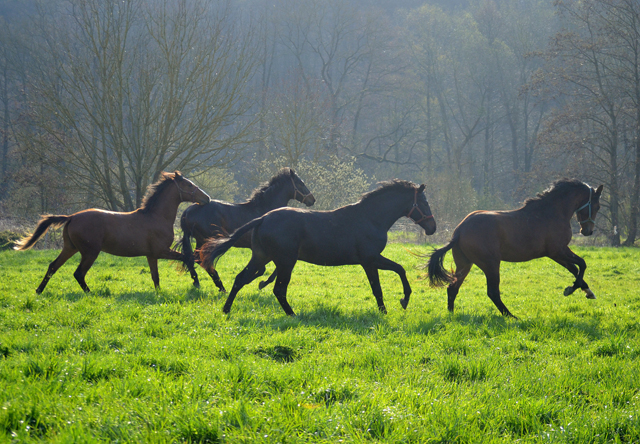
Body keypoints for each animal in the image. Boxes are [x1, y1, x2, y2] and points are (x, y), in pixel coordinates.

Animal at [15, 172, 210, 294]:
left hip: (70, 248)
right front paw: (196, 282)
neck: (156, 216)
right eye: (188, 184)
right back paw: (90, 293)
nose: (206, 198)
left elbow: (155, 276)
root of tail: (71, 217)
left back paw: (39, 290)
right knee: (78, 273)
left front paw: (159, 293)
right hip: (90, 252)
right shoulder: (161, 251)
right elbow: (187, 258)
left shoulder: (151, 255)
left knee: (53, 266)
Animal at [179, 167, 314, 292]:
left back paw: (200, 283)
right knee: (200, 259)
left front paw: (256, 282)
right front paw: (259, 283)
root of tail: (188, 210)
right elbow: (264, 270)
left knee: (193, 258)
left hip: (200, 241)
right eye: (301, 183)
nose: (312, 199)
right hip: (207, 240)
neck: (264, 210)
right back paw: (218, 286)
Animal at [202, 180, 438, 316]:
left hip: (261, 257)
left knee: (241, 279)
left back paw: (226, 309)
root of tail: (263, 218)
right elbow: (380, 286)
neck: (370, 218)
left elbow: (398, 270)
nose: (432, 228)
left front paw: (402, 301)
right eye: (424, 203)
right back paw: (292, 314)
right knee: (278, 289)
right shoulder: (369, 260)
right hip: (285, 262)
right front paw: (390, 308)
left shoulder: (373, 259)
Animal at [428, 179, 604, 318]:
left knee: (453, 288)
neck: (552, 212)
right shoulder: (558, 250)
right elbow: (582, 264)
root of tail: (460, 230)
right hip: (491, 264)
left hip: (465, 264)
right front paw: (571, 289)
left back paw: (451, 314)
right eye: (597, 206)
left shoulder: (556, 254)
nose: (587, 231)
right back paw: (511, 316)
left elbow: (575, 269)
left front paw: (586, 291)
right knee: (492, 292)